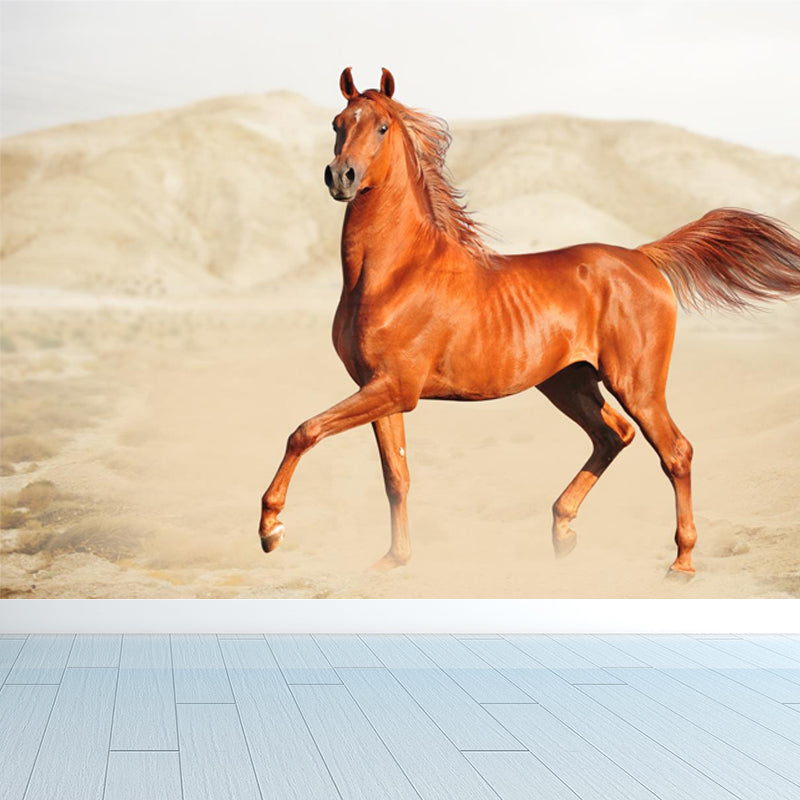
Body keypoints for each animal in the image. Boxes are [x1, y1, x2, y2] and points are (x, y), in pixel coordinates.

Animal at [259, 67, 800, 575]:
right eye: (337, 123)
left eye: (382, 127)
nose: (341, 176)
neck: (395, 273)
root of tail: (643, 258)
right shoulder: (380, 390)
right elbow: (396, 477)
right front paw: (394, 559)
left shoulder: (395, 388)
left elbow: (304, 431)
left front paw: (271, 529)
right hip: (569, 382)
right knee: (613, 435)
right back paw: (563, 532)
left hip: (637, 383)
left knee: (675, 451)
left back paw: (681, 562)